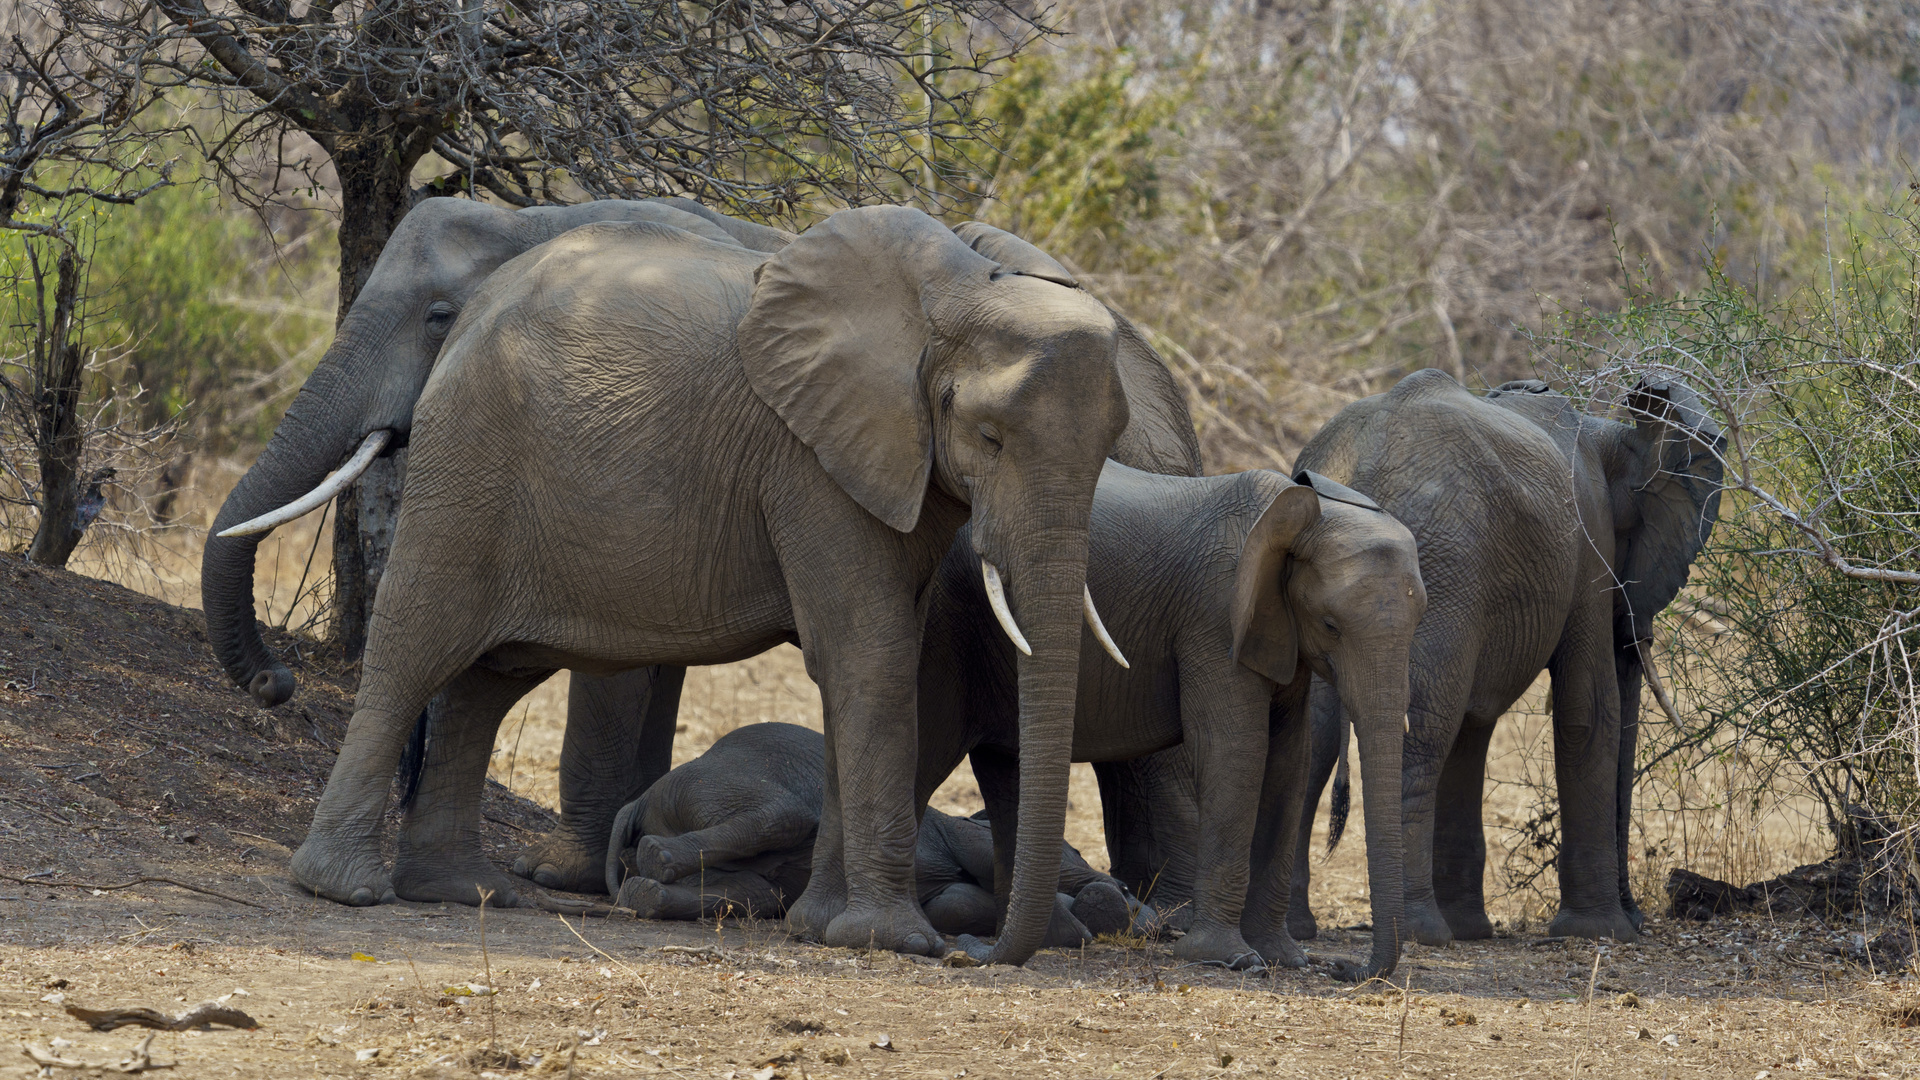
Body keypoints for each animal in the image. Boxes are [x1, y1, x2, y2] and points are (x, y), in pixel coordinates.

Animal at [602, 722, 1136, 941]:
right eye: (1076, 849)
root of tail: (640, 801)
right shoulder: (961, 834)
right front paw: (1101, 913)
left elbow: (956, 902)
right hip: (717, 784)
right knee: (783, 817)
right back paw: (655, 860)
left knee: (753, 891)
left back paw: (645, 889)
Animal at [910, 457, 1428, 972]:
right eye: (1330, 625)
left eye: (1419, 622)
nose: (1342, 968)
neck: (1307, 513)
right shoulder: (1216, 618)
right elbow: (1235, 750)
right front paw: (1230, 958)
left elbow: (1288, 762)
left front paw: (1284, 959)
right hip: (949, 628)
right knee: (928, 752)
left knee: (1003, 770)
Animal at [1290, 368, 1728, 941]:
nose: (1638, 916)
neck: (1607, 433)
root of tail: (1359, 470)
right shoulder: (1588, 542)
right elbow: (1589, 707)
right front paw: (1598, 933)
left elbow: (1474, 724)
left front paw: (1473, 929)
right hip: (1438, 568)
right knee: (1423, 730)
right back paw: (1419, 932)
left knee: (1317, 733)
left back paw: (1297, 929)